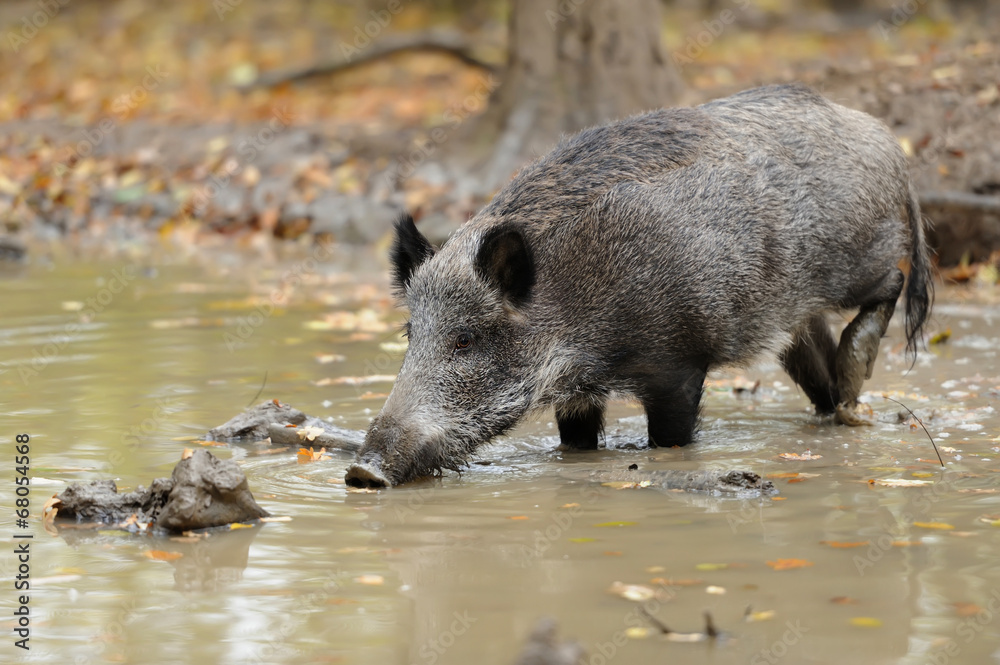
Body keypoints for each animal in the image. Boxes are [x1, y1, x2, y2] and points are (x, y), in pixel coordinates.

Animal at [345, 83, 932, 488]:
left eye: (465, 339)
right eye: (410, 334)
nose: (362, 471)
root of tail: (889, 143)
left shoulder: (679, 363)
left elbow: (671, 438)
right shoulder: (578, 396)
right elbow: (577, 444)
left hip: (860, 257)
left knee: (895, 281)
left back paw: (857, 381)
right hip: (792, 319)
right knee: (819, 373)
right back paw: (845, 407)